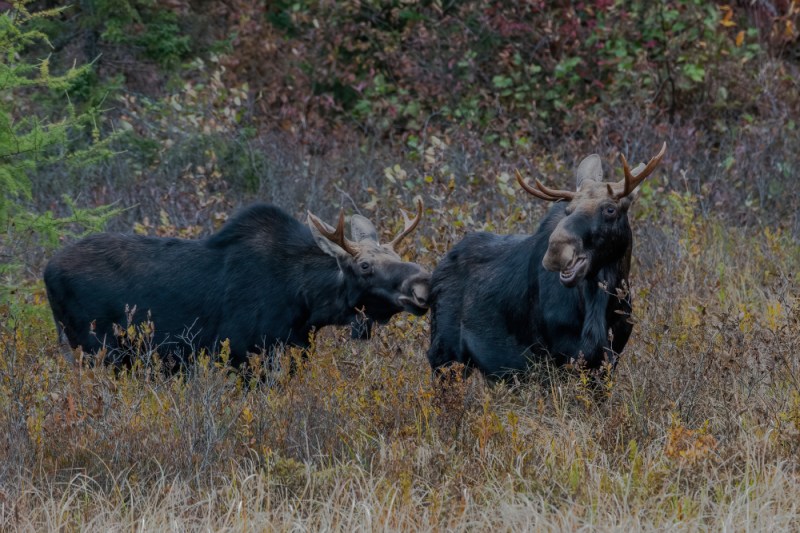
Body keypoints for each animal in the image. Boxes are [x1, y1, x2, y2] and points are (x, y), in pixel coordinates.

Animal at [44, 200, 431, 368]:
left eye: (395, 254)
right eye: (365, 265)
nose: (422, 285)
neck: (307, 304)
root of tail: (46, 271)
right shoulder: (242, 352)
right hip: (95, 347)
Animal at [426, 143, 667, 382]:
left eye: (610, 209)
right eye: (568, 210)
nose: (556, 250)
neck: (599, 305)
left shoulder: (608, 358)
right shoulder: (553, 359)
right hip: (445, 357)